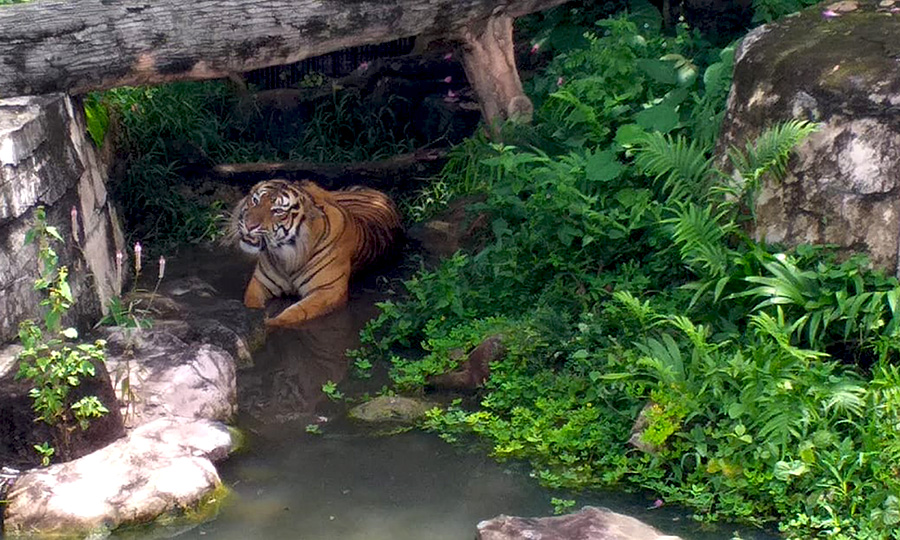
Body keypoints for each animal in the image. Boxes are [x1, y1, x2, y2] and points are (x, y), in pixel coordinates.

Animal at [229, 179, 400, 326]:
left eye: (277, 211)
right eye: (255, 200)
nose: (249, 225)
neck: (288, 257)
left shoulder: (328, 290)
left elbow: (292, 314)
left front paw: (269, 322)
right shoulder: (260, 282)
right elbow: (251, 304)